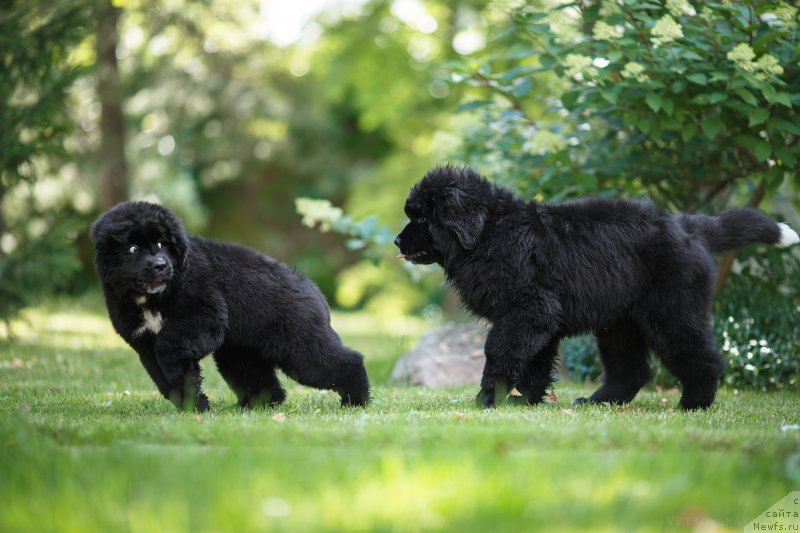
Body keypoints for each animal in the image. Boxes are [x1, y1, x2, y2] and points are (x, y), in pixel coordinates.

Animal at [93, 201, 372, 412]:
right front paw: (193, 408)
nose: (161, 266)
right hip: (240, 352)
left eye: (162, 244)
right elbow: (169, 379)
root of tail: (314, 290)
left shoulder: (204, 318)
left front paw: (195, 407)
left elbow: (169, 347)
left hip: (300, 348)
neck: (153, 298)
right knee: (262, 382)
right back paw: (254, 407)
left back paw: (355, 402)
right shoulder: (144, 344)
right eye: (133, 248)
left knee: (347, 362)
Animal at [396, 165, 800, 408]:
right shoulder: (540, 318)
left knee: (703, 359)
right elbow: (534, 363)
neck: (488, 232)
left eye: (421, 218)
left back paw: (692, 405)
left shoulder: (527, 310)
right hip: (621, 323)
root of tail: (689, 226)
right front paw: (525, 401)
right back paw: (598, 401)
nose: (398, 242)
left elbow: (500, 353)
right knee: (632, 370)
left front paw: (487, 400)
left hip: (673, 311)